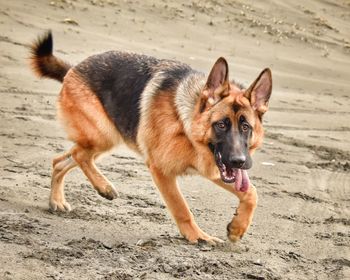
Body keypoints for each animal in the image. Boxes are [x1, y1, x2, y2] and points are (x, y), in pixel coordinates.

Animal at [29, 31, 270, 244]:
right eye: (221, 125)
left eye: (246, 127)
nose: (239, 161)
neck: (187, 125)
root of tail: (73, 68)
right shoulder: (162, 170)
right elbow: (181, 207)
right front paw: (197, 236)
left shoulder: (213, 168)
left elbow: (252, 193)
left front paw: (238, 228)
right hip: (103, 135)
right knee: (79, 155)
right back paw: (104, 187)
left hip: (100, 140)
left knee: (61, 160)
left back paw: (57, 200)